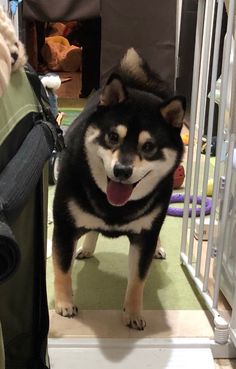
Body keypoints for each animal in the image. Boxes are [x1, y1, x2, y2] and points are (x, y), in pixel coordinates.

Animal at [52, 48, 185, 328]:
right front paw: (64, 304)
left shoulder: (144, 237)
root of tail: (135, 84)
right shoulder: (65, 227)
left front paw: (133, 314)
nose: (122, 170)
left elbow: (137, 280)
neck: (113, 207)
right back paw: (87, 247)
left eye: (149, 147)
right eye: (113, 137)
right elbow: (62, 269)